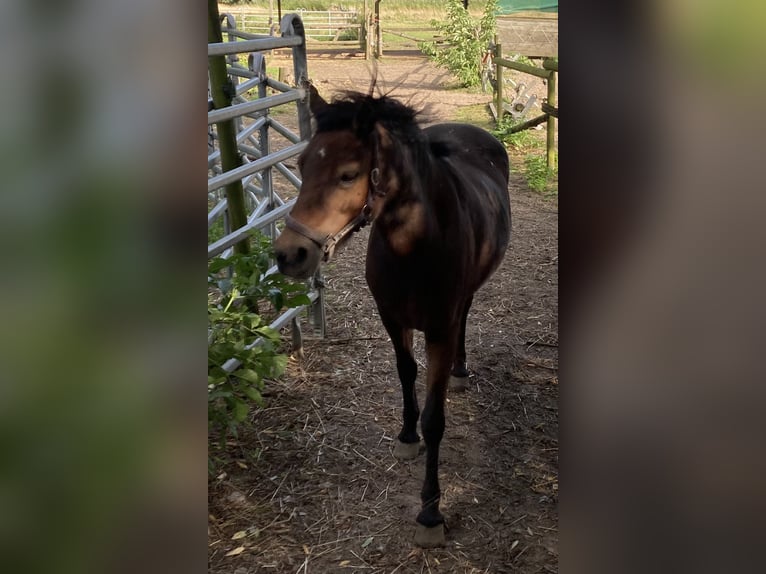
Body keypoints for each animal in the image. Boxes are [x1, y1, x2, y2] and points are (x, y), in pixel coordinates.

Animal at [274, 86, 511, 547]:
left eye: (348, 174)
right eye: (302, 165)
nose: (289, 254)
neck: (415, 247)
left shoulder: (439, 329)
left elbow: (435, 419)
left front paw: (431, 512)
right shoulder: (391, 318)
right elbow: (405, 373)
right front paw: (406, 435)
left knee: (466, 316)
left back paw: (459, 370)